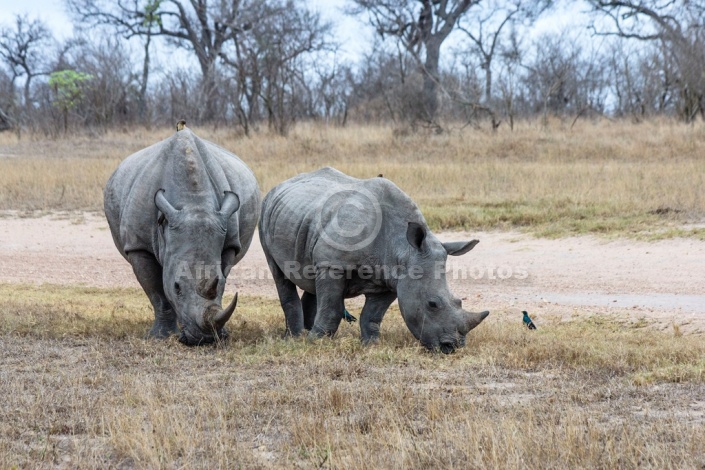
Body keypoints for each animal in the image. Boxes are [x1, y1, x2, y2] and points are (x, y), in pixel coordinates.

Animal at [103, 124, 260, 346]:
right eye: (177, 287)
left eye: (221, 284)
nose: (203, 339)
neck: (194, 202)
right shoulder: (138, 246)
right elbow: (157, 292)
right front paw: (160, 336)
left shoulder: (230, 242)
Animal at [260, 166, 490, 352]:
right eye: (432, 304)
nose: (452, 347)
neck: (404, 249)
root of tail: (282, 184)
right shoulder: (333, 265)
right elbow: (332, 308)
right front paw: (316, 342)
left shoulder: (391, 279)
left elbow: (372, 316)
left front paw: (371, 344)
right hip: (266, 213)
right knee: (280, 274)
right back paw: (295, 337)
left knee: (312, 279)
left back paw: (305, 331)